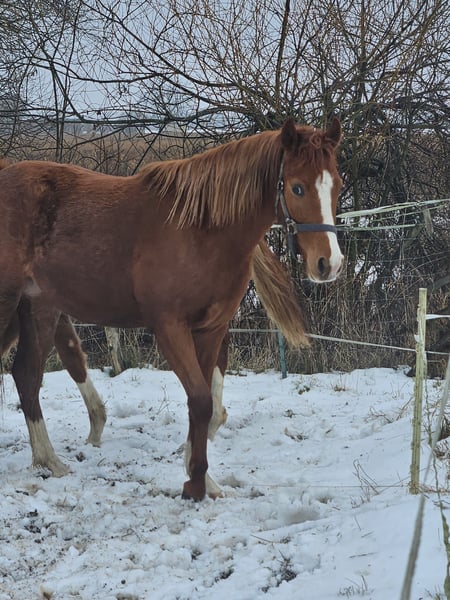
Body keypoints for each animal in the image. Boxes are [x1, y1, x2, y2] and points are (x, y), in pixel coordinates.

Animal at [0, 118, 343, 500]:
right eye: (297, 188)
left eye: (337, 186)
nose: (329, 263)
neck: (201, 232)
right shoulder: (170, 328)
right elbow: (201, 400)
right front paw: (195, 484)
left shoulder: (210, 330)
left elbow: (203, 404)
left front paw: (202, 479)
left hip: (38, 310)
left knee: (27, 375)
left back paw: (49, 461)